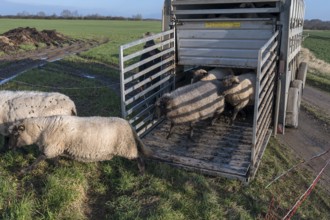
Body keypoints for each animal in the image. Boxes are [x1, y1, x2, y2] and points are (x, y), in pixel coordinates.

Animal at [7, 115, 152, 174]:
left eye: (16, 134)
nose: (8, 148)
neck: (42, 130)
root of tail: (129, 125)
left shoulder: (52, 146)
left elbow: (38, 159)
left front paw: (24, 171)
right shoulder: (57, 147)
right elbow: (54, 160)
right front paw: (58, 169)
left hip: (126, 147)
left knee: (138, 157)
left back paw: (142, 172)